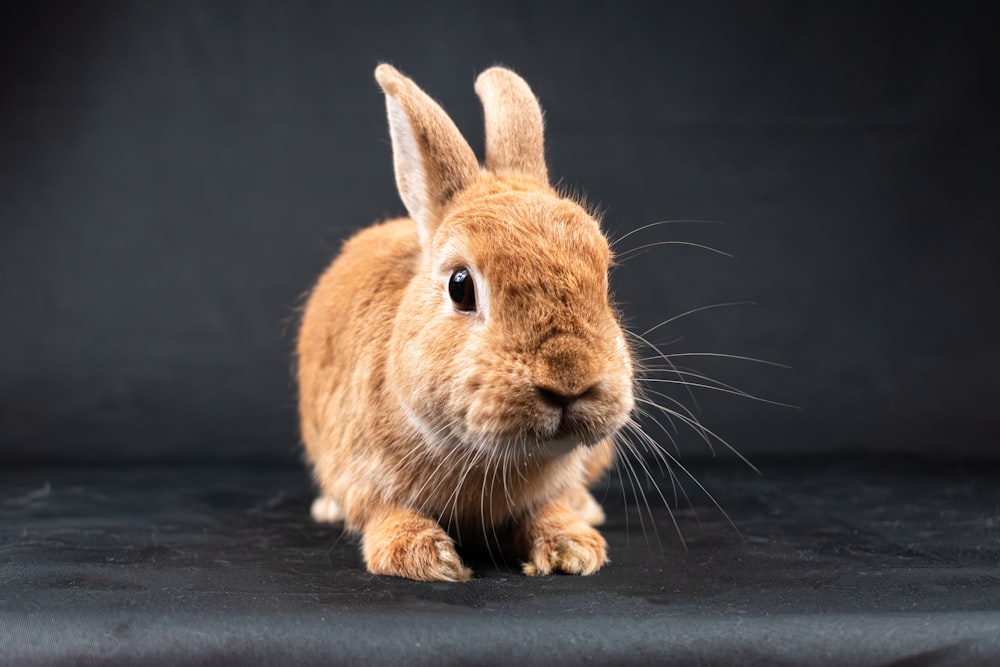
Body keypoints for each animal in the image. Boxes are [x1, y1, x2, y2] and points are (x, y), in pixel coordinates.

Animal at [296, 64, 636, 584]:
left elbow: (549, 508)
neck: (485, 457)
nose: (569, 382)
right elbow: (384, 511)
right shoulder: (360, 472)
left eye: (604, 276)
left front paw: (572, 547)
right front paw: (426, 557)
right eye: (460, 287)